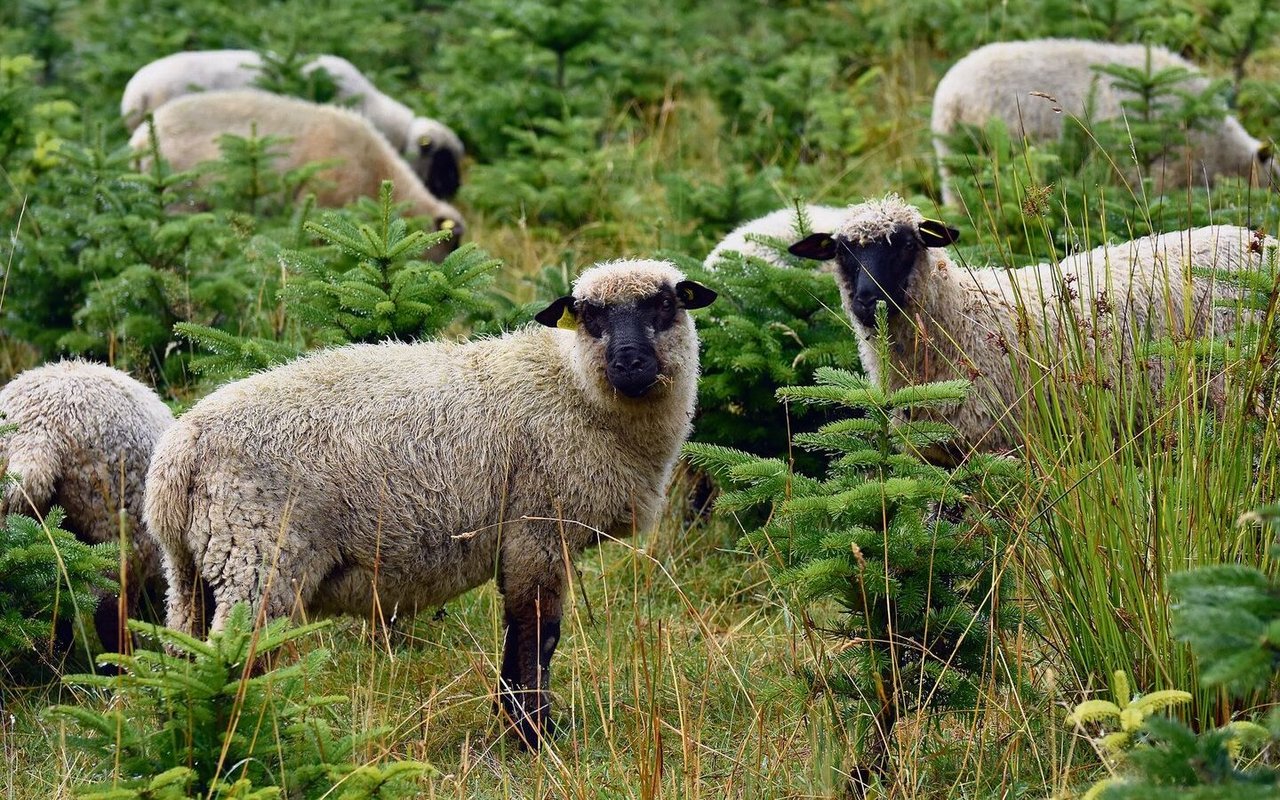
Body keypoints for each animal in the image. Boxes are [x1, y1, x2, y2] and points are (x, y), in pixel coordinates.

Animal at [143, 258, 717, 746]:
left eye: (665, 305)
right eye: (590, 317)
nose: (629, 362)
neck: (573, 388)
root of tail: (177, 455)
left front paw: (520, 726)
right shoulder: (535, 529)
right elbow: (535, 636)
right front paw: (534, 736)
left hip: (196, 568)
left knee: (185, 655)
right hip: (258, 553)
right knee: (234, 660)